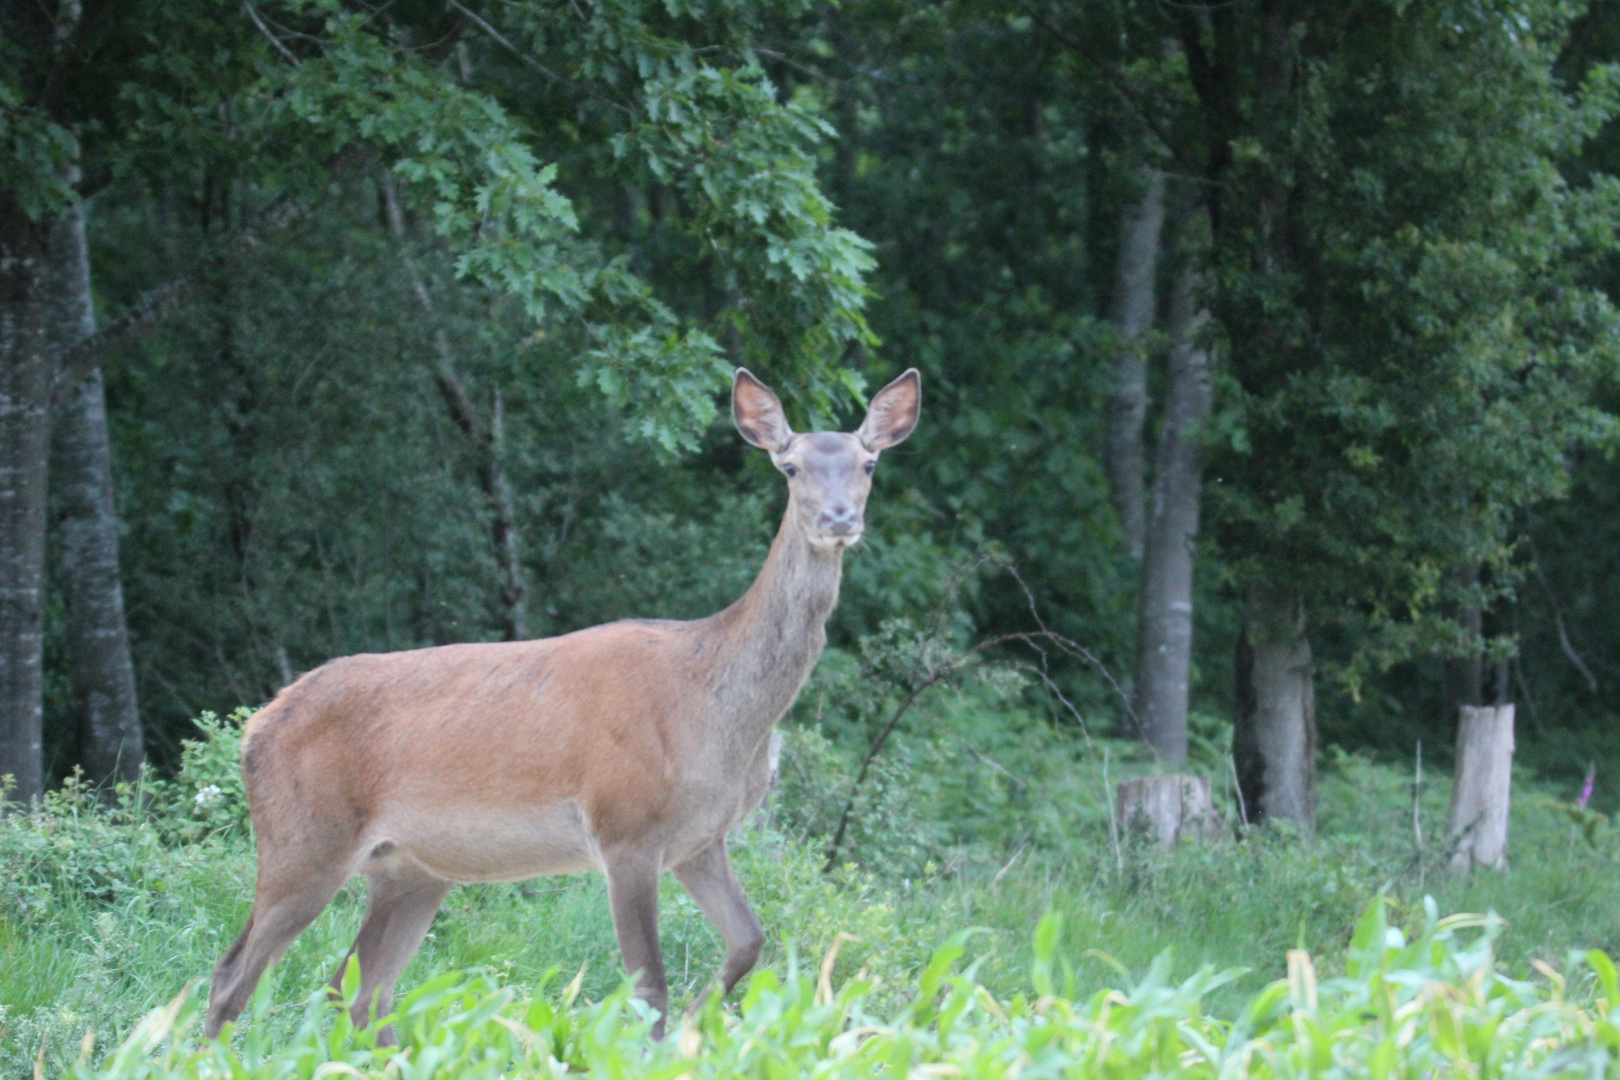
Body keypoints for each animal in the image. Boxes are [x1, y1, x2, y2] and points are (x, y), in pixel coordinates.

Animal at [199, 367, 926, 1042]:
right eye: (791, 465)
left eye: (867, 463)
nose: (839, 518)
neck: (718, 710)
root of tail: (256, 727)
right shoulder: (624, 824)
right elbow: (649, 987)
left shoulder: (700, 837)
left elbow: (750, 941)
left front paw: (700, 1031)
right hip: (304, 837)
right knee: (235, 973)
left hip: (410, 868)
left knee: (358, 987)